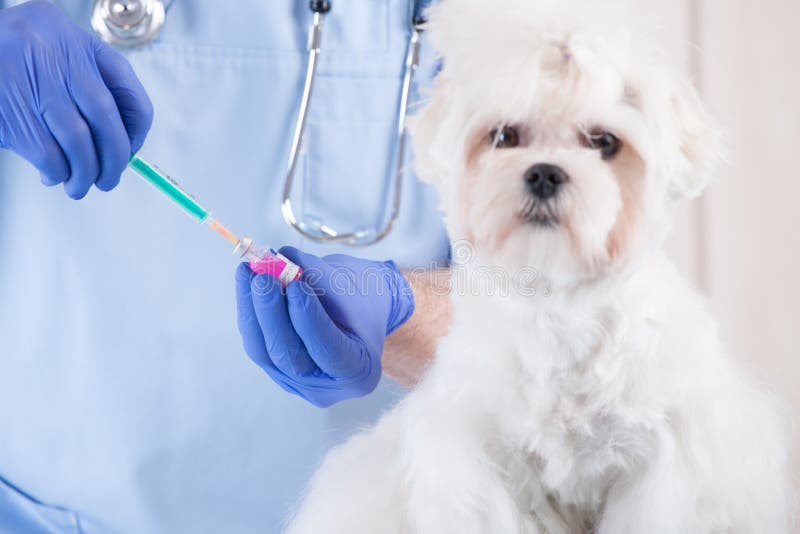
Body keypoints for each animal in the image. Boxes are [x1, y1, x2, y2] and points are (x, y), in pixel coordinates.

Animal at [284, 1, 792, 534]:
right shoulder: (476, 463)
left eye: (603, 141)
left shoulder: (665, 469)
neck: (560, 309)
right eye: (505, 135)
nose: (545, 172)